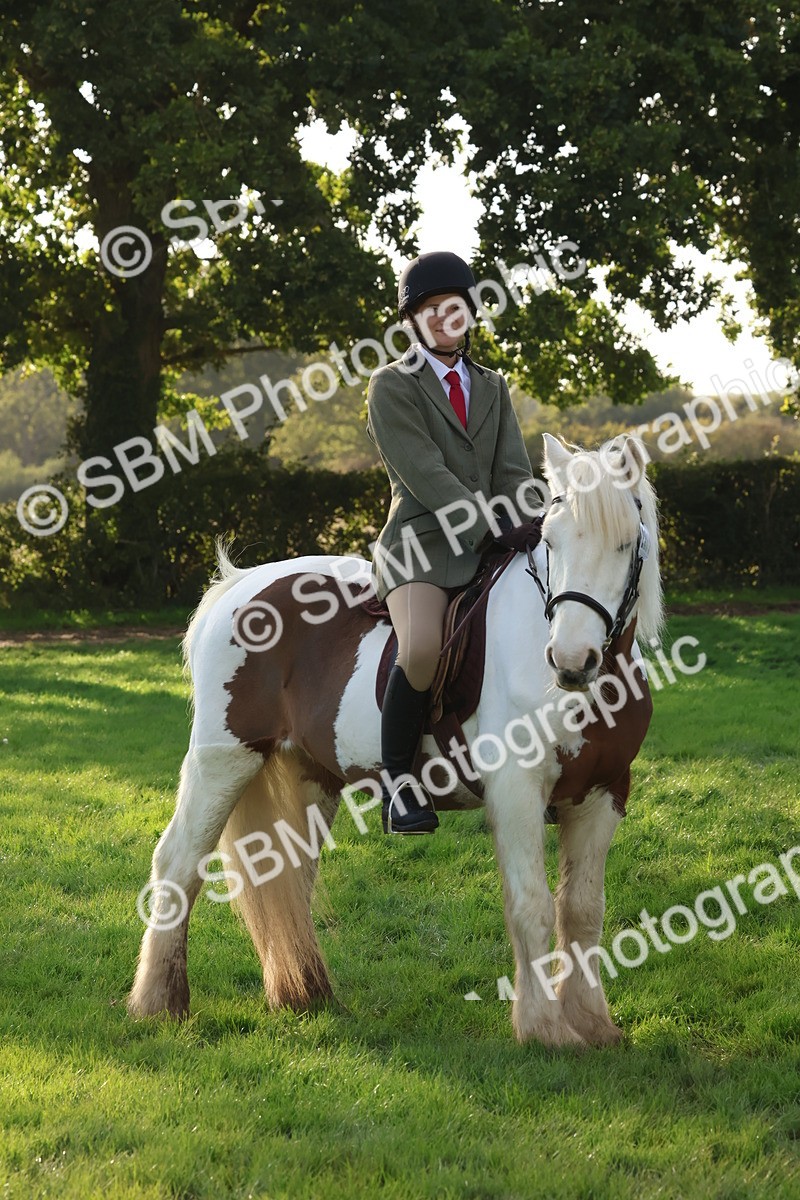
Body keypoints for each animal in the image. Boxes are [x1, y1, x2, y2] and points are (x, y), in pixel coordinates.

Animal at [128, 432, 663, 1048]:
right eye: (550, 541)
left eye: (626, 544)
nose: (571, 662)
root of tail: (240, 583)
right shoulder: (517, 792)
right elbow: (531, 905)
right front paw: (545, 1030)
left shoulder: (603, 793)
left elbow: (582, 909)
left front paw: (594, 1024)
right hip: (225, 758)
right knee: (179, 861)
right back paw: (159, 1002)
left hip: (309, 774)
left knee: (288, 874)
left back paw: (306, 994)